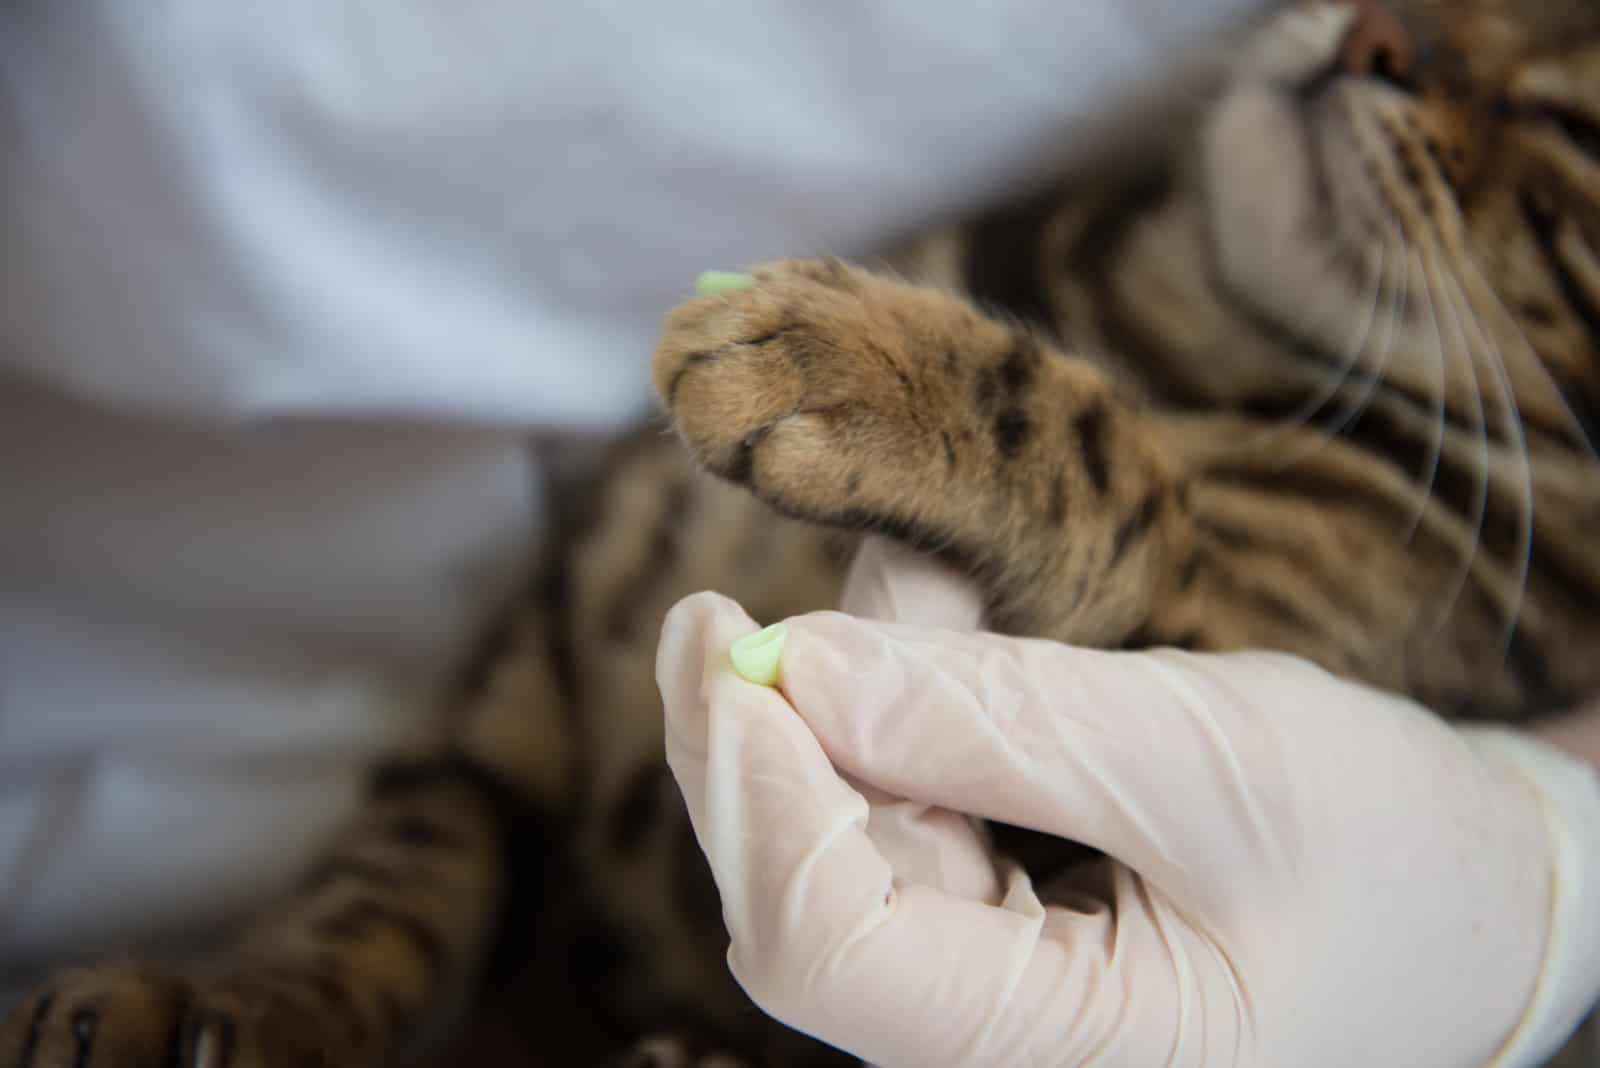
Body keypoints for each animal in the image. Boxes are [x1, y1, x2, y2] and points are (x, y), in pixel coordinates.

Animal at [3, 2, 1600, 1068]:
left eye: (1569, 112)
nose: (1383, 36)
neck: (1167, 318)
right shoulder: (515, 701)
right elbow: (373, 895)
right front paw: (210, 1004)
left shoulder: (1267, 636)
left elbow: (1109, 456)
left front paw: (856, 362)